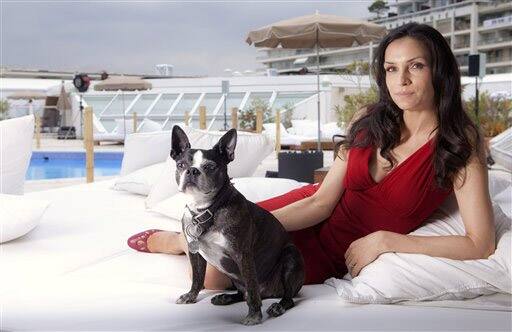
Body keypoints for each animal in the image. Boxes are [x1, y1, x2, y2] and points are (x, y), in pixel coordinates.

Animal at [173, 126, 304, 326]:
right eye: (180, 165)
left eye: (210, 167)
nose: (192, 171)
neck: (207, 209)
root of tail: (270, 293)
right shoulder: (194, 251)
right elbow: (197, 277)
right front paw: (191, 296)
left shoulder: (243, 255)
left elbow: (252, 288)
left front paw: (254, 315)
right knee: (243, 293)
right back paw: (226, 297)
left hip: (291, 258)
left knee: (284, 297)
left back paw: (278, 306)